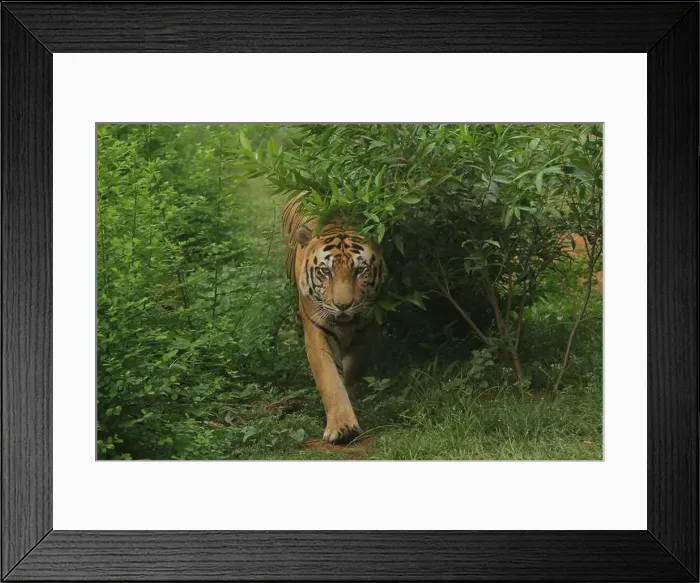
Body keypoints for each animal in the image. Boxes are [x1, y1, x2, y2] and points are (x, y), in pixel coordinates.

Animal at [281, 191, 388, 445]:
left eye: (360, 271)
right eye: (325, 272)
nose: (343, 306)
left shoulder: (367, 328)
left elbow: (350, 370)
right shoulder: (316, 331)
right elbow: (330, 379)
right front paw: (342, 427)